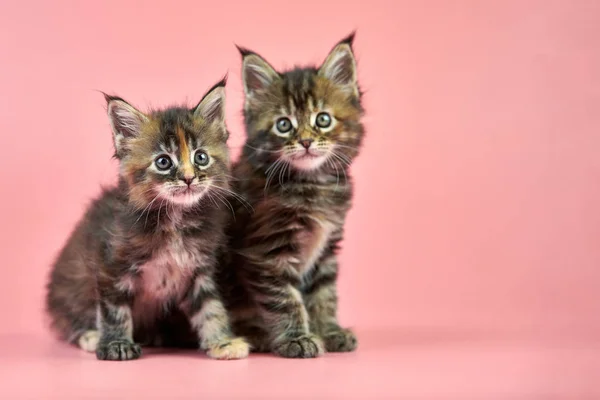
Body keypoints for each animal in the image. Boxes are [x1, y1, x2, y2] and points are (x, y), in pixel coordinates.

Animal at [45, 79, 248, 360]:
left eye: (201, 157)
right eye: (163, 162)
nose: (188, 178)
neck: (174, 220)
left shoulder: (200, 270)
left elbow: (211, 308)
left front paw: (223, 342)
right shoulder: (111, 266)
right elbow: (114, 310)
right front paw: (116, 344)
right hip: (71, 286)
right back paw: (90, 336)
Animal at [219, 34, 364, 358]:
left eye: (323, 120)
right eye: (284, 124)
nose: (307, 142)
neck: (312, 184)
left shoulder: (326, 250)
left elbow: (324, 296)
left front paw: (330, 331)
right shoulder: (267, 252)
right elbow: (284, 300)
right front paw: (296, 339)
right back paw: (257, 335)